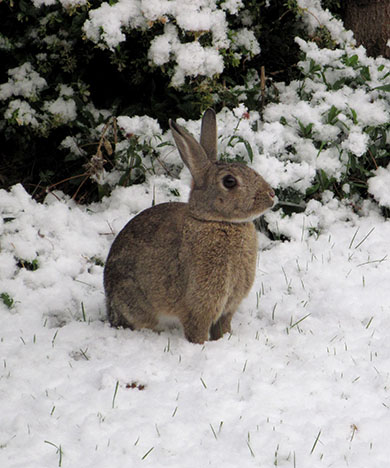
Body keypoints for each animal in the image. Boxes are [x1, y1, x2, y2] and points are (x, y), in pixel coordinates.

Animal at [103, 109, 274, 344]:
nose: (272, 195)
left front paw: (225, 340)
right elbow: (197, 331)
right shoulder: (199, 304)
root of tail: (109, 306)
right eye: (229, 182)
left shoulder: (228, 307)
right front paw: (200, 346)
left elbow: (223, 327)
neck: (217, 221)